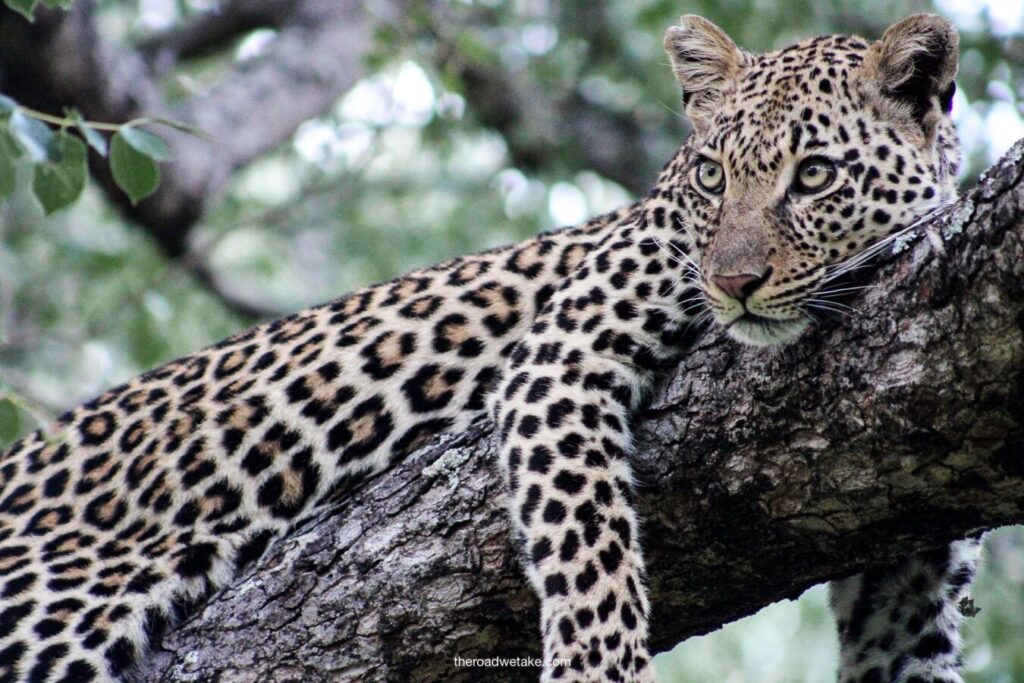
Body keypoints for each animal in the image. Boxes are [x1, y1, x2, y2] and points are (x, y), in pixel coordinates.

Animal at [0, 12, 974, 683]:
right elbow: (590, 555)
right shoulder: (557, 358)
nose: (732, 280)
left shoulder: (910, 546)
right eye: (711, 176)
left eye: (813, 176)